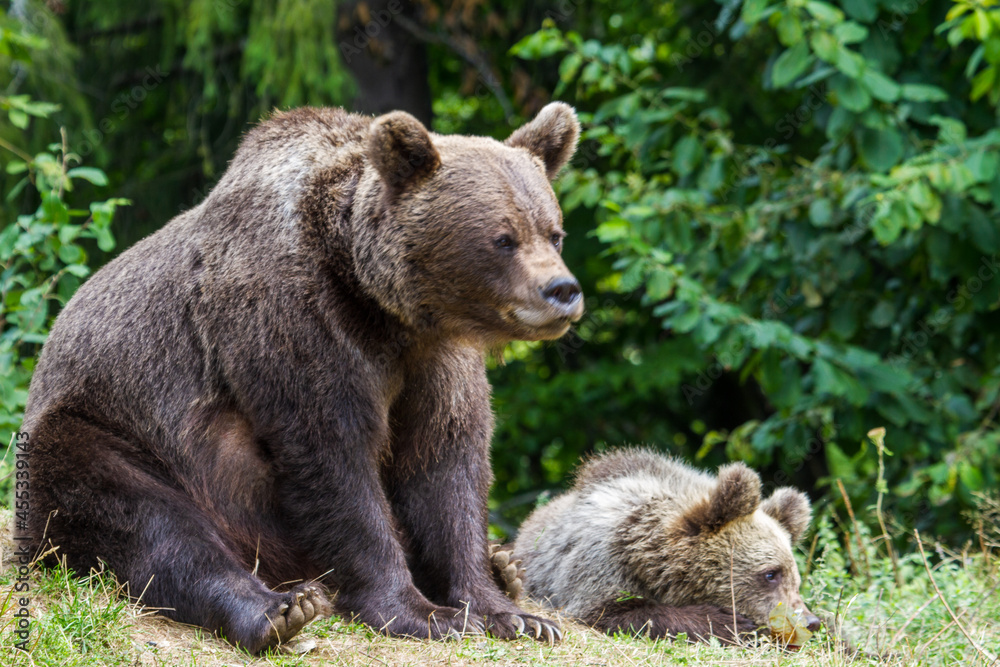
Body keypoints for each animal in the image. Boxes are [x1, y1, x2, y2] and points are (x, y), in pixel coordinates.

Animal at [21, 102, 583, 652]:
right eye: (503, 238)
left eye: (553, 231)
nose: (562, 290)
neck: (377, 303)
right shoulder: (293, 322)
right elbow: (332, 459)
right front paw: (422, 613)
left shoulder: (437, 359)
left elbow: (445, 463)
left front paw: (511, 614)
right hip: (101, 431)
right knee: (145, 520)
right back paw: (279, 610)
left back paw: (505, 566)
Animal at [513, 448, 821, 644]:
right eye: (770, 574)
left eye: (796, 580)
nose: (810, 621)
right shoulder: (602, 560)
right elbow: (608, 610)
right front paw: (729, 622)